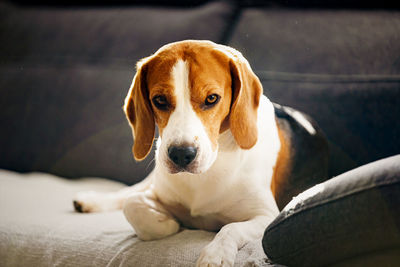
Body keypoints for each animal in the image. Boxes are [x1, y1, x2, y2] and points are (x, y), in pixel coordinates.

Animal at [72, 40, 328, 267]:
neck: (207, 171)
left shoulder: (265, 217)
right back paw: (93, 200)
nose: (181, 155)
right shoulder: (157, 191)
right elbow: (132, 203)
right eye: (160, 100)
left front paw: (215, 255)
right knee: (132, 191)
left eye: (212, 98)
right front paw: (168, 223)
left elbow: (230, 228)